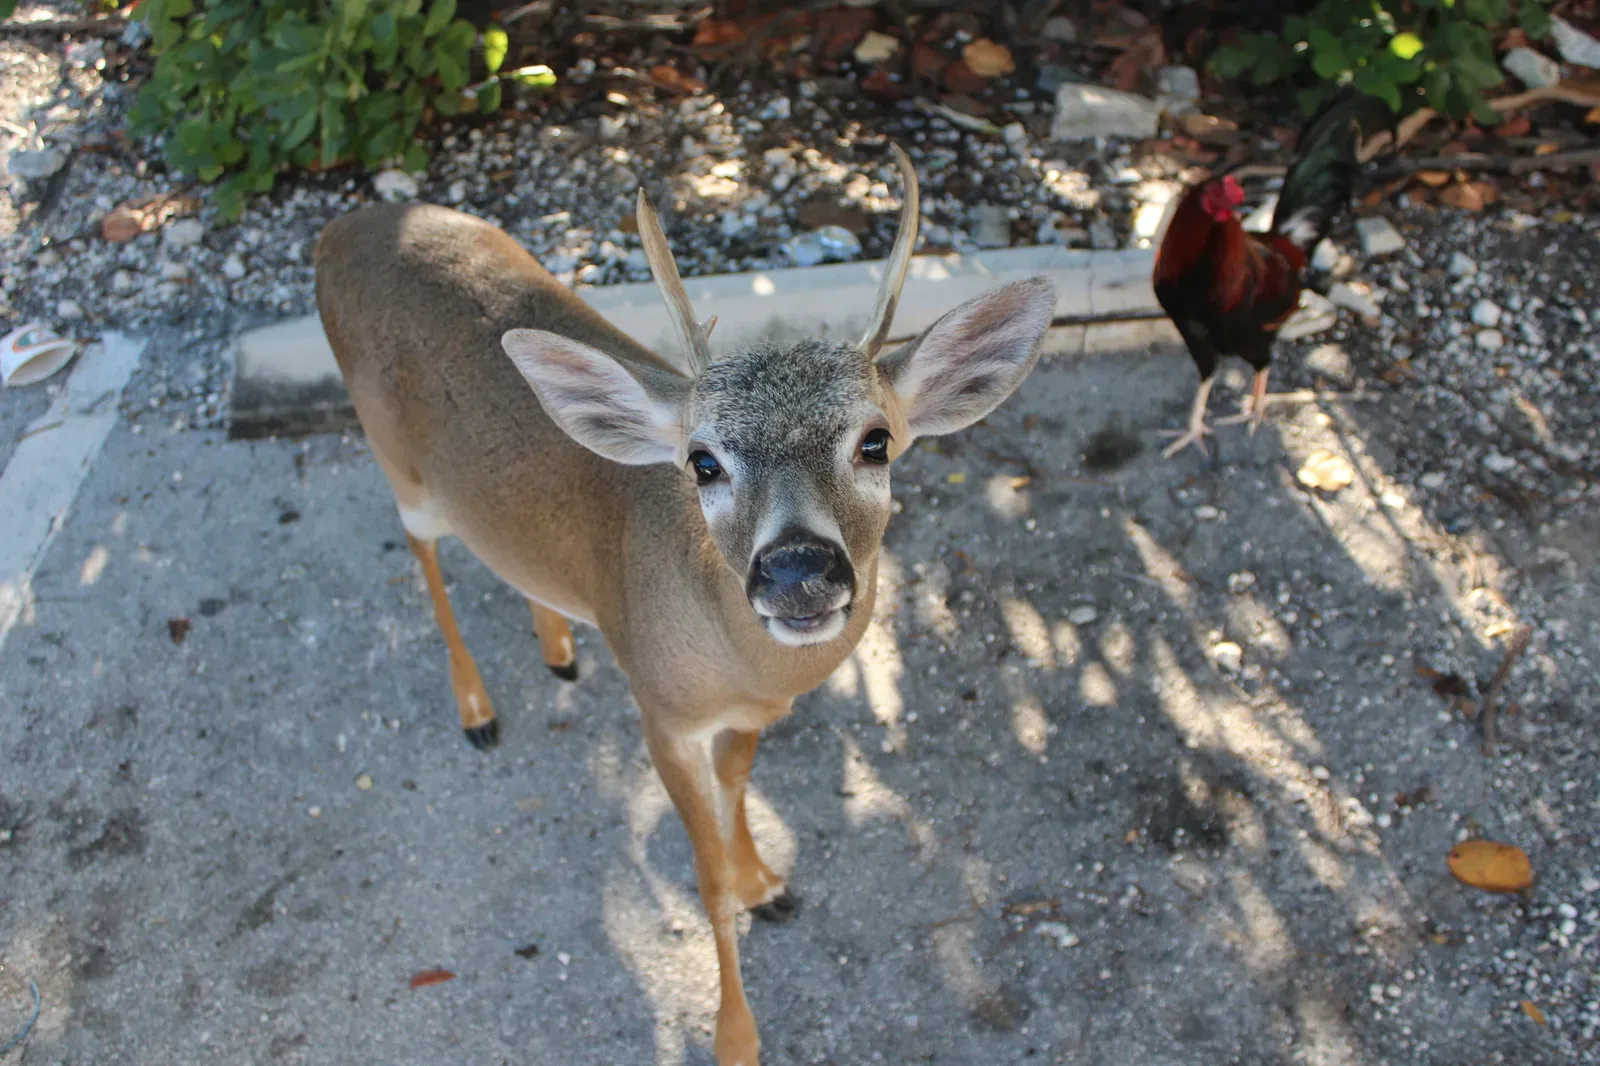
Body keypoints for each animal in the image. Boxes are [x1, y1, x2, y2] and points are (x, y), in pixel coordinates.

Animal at [312, 144, 1056, 1065]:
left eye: (877, 442)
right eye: (702, 462)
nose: (797, 570)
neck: (732, 660)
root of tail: (337, 233)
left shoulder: (749, 714)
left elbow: (737, 798)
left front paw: (768, 883)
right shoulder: (660, 710)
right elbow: (701, 879)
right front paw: (734, 1034)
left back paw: (558, 648)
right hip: (397, 462)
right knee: (422, 551)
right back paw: (476, 708)